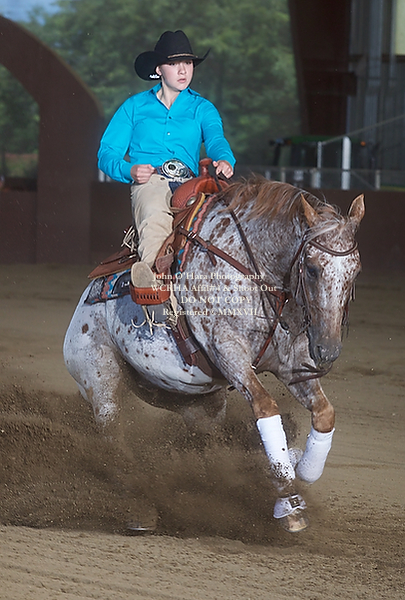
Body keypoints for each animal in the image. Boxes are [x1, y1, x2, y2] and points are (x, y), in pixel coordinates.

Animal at [63, 177, 364, 533]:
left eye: (355, 271)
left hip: (193, 400)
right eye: (314, 269)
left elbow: (324, 415)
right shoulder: (230, 354)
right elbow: (266, 409)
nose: (327, 350)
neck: (254, 270)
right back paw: (139, 510)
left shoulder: (294, 368)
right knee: (114, 441)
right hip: (101, 381)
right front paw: (288, 503)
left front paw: (299, 468)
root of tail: (81, 308)